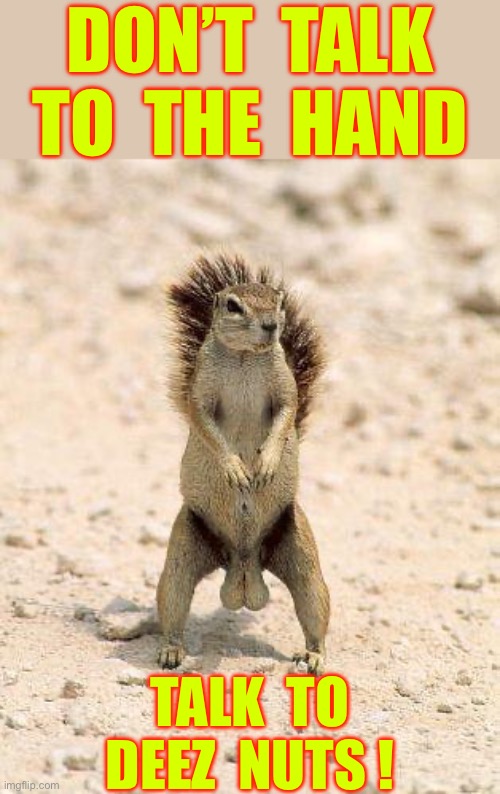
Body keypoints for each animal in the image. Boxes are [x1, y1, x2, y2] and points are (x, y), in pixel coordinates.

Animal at [157, 253, 330, 674]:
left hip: (301, 552)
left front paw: (265, 462)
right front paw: (235, 468)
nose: (271, 325)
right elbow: (205, 423)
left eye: (279, 301)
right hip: (184, 550)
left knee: (313, 606)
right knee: (173, 600)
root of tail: (243, 563)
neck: (244, 358)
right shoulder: (200, 393)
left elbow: (286, 414)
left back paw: (314, 656)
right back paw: (171, 650)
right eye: (234, 306)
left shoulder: (285, 386)